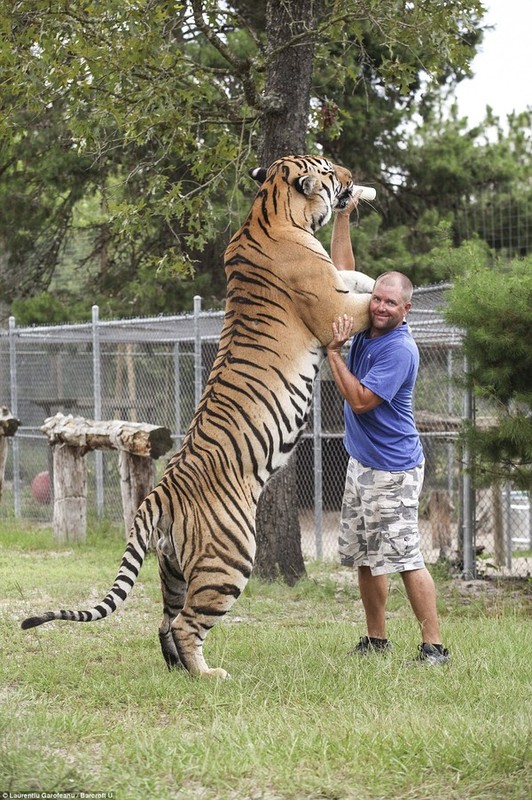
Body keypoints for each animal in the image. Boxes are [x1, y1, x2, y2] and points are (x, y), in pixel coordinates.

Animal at [21, 153, 374, 680]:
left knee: (165, 621)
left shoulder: (335, 283)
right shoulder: (332, 307)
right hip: (230, 560)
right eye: (331, 170)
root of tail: (157, 495)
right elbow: (365, 301)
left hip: (172, 569)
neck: (271, 209)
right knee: (188, 624)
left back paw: (179, 673)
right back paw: (209, 676)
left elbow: (356, 279)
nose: (352, 178)